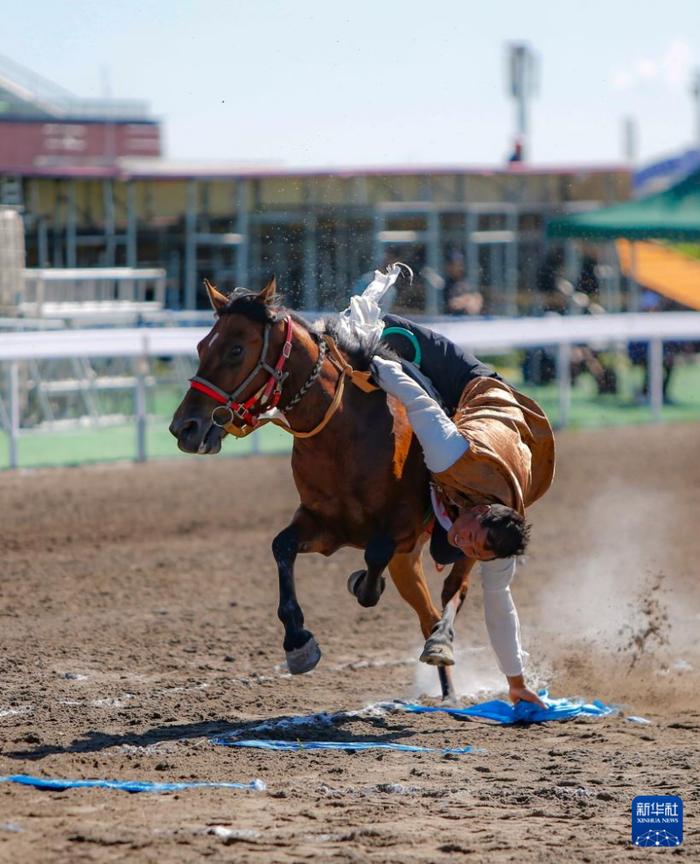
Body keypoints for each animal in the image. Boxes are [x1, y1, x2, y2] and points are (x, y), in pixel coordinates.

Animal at [170, 276, 474, 704]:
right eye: (200, 347)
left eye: (235, 349)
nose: (184, 427)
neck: (343, 432)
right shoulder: (324, 524)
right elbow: (281, 548)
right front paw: (298, 642)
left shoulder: (404, 524)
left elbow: (373, 560)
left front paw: (363, 583)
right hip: (408, 561)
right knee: (427, 614)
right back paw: (446, 688)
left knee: (452, 593)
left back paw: (442, 647)